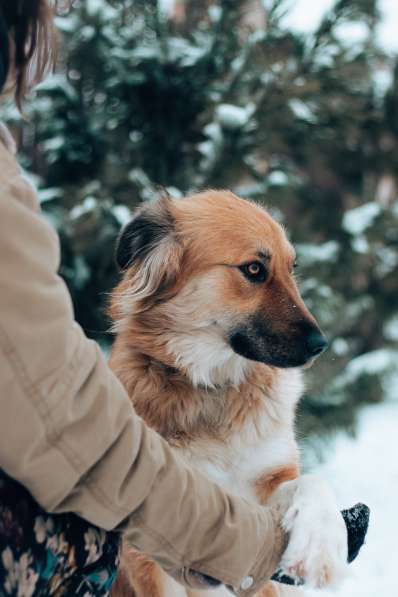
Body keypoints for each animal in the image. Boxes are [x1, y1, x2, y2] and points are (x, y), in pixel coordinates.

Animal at [109, 191, 348, 596]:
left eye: (293, 267)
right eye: (253, 269)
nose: (321, 345)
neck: (213, 387)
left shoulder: (258, 497)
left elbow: (314, 482)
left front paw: (320, 545)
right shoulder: (153, 546)